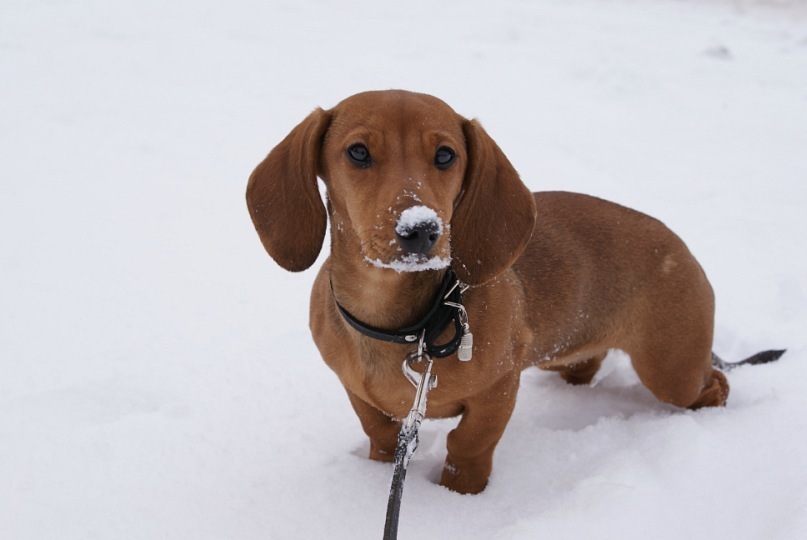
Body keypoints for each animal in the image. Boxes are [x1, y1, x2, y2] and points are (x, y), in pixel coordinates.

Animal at [246, 90, 776, 496]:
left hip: (672, 372)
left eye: (445, 155)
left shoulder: (498, 391)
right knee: (588, 367)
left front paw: (459, 500)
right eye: (357, 152)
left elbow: (468, 446)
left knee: (714, 383)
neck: (408, 326)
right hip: (570, 354)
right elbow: (379, 432)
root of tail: (680, 246)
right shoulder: (358, 394)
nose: (421, 230)